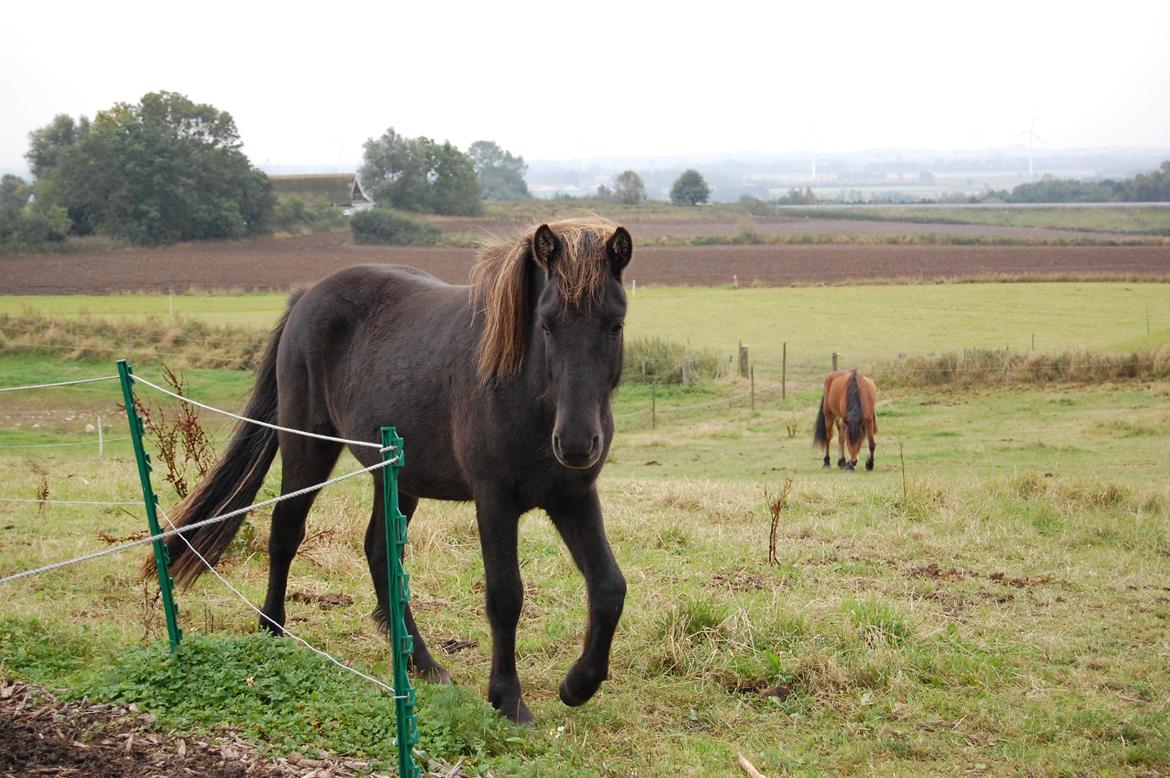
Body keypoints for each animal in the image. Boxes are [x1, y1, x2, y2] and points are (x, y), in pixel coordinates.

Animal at [157, 216, 631, 720]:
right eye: (546, 325)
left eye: (615, 325)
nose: (577, 444)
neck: (526, 393)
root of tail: (307, 296)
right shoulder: (494, 501)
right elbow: (505, 595)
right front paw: (508, 700)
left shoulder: (573, 497)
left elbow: (609, 587)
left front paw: (578, 685)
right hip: (308, 449)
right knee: (285, 532)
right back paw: (273, 630)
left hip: (397, 477)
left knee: (379, 552)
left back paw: (421, 662)